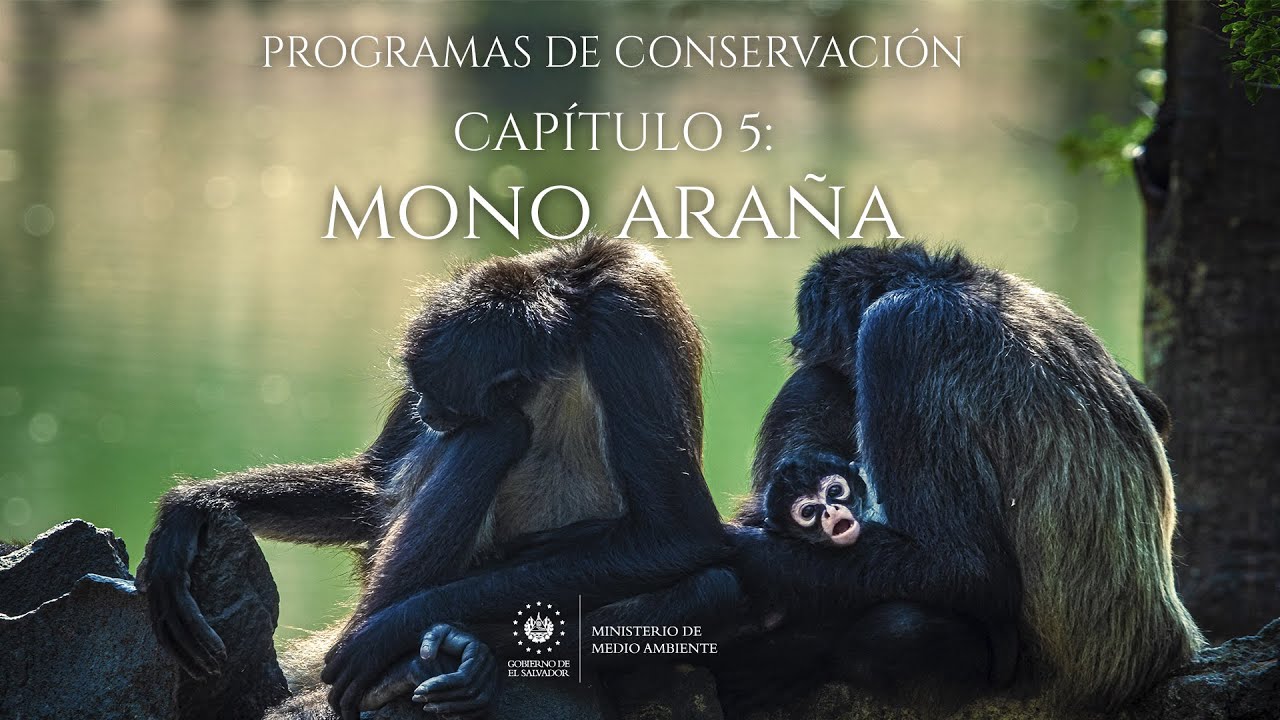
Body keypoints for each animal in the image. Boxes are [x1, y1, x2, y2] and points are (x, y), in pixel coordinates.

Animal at [136, 234, 734, 720]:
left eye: (440, 400)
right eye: (421, 392)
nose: (423, 408)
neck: (567, 314)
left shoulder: (624, 322)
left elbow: (678, 536)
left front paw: (393, 629)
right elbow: (373, 482)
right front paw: (193, 504)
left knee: (710, 587)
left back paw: (431, 657)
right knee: (494, 436)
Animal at [715, 241, 1203, 714]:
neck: (942, 281)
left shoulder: (898, 328)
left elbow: (968, 569)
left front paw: (746, 550)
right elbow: (1156, 414)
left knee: (898, 629)